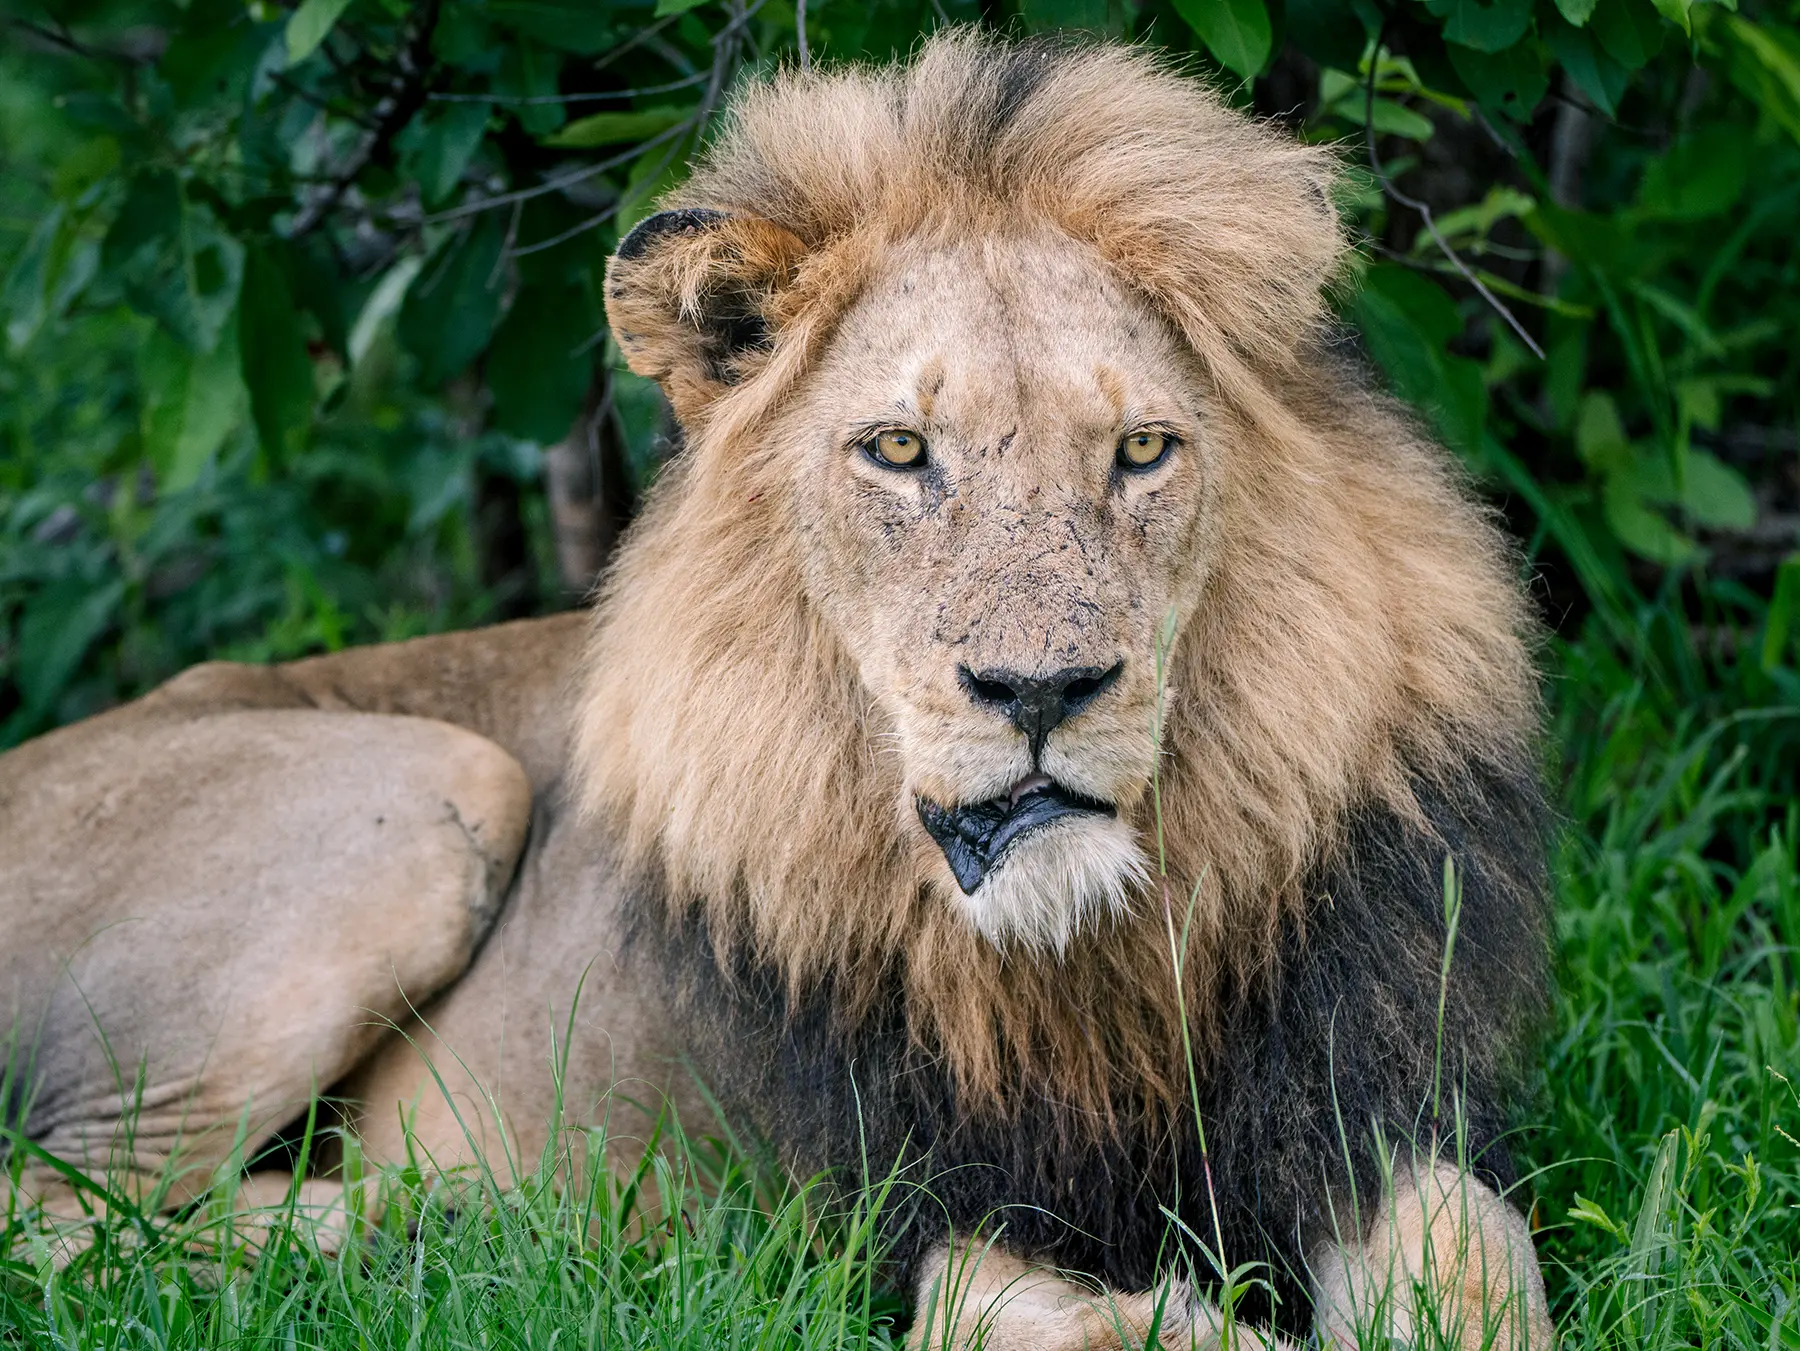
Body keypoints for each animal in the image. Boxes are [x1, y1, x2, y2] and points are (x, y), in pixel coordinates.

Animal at [1, 32, 1554, 1348]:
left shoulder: (1359, 1109)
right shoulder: (878, 1203)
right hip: (434, 785)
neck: (1072, 962)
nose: (1039, 689)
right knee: (74, 1212)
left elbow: (1485, 1266)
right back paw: (455, 1226)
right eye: (900, 450)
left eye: (1142, 450)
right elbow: (1022, 1309)